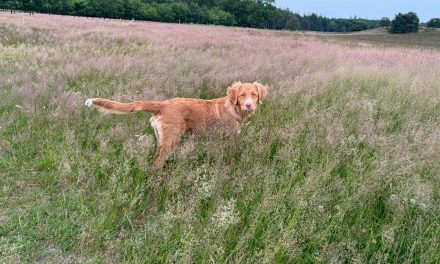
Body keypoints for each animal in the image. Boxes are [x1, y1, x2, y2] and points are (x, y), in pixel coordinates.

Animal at [84, 82, 266, 168]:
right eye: (241, 95)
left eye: (254, 94)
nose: (249, 105)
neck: (233, 108)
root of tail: (163, 104)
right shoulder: (226, 139)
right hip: (171, 141)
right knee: (157, 163)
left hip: (162, 141)